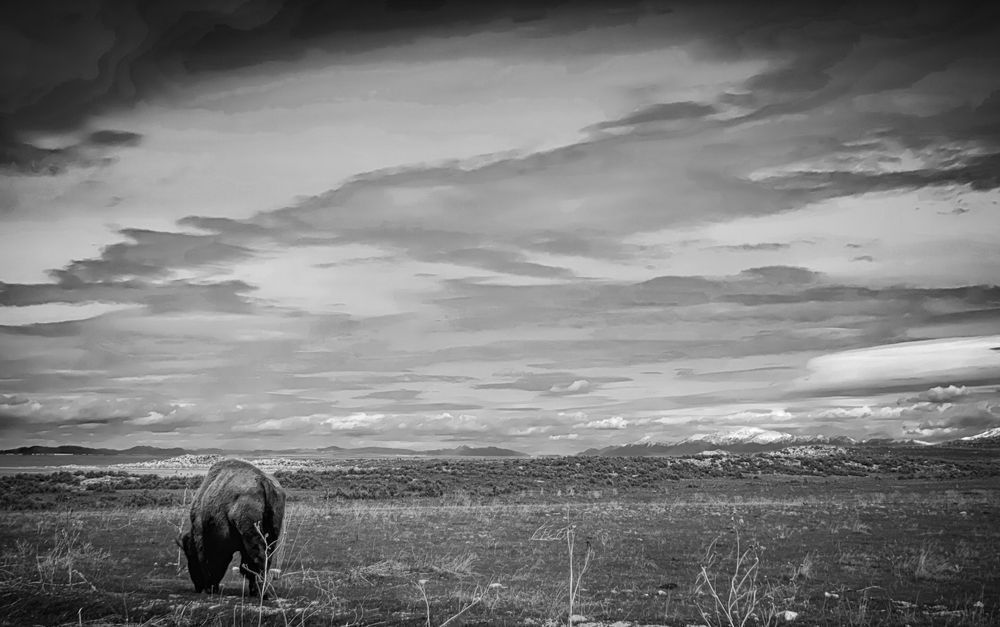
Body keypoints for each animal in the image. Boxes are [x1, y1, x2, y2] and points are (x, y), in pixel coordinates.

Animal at [177, 459, 286, 596]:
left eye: (190, 555)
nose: (198, 587)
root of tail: (263, 480)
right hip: (272, 532)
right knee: (265, 558)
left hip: (250, 532)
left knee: (259, 558)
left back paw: (261, 592)